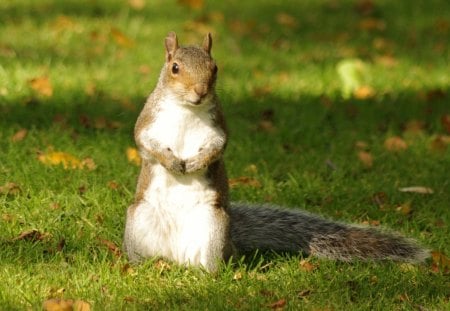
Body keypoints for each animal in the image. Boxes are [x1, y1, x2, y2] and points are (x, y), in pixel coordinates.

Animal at [123, 30, 428, 272]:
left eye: (215, 67)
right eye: (174, 68)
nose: (200, 91)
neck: (187, 108)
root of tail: (175, 259)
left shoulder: (218, 127)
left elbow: (217, 147)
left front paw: (197, 163)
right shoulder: (149, 120)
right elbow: (144, 141)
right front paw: (172, 162)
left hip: (212, 227)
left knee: (209, 264)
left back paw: (206, 273)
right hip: (138, 221)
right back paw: (141, 267)